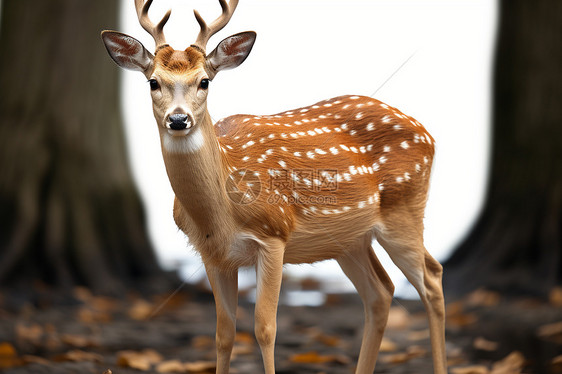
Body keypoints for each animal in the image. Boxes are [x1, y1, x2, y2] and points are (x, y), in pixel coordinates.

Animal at [100, 0, 446, 374]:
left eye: (204, 81)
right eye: (153, 82)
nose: (178, 119)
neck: (220, 215)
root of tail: (428, 134)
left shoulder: (274, 234)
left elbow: (265, 328)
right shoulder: (212, 254)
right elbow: (223, 333)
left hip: (404, 208)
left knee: (431, 278)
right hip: (349, 240)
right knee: (381, 292)